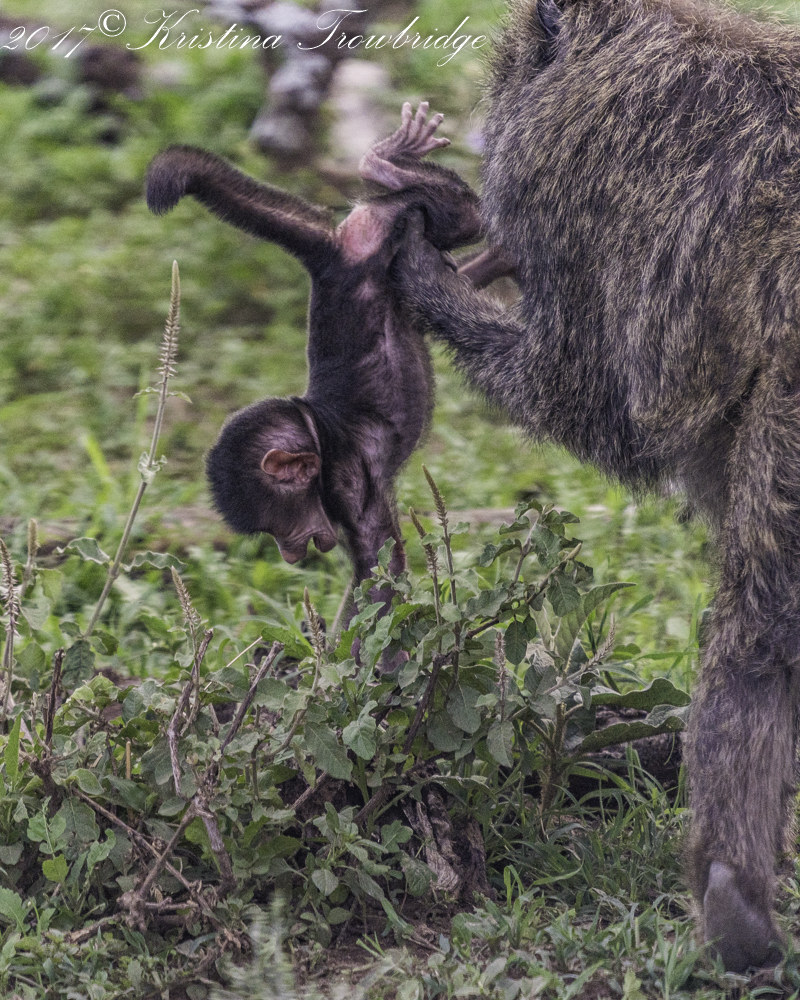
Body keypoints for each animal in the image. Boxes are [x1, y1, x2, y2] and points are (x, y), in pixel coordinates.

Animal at [146, 102, 487, 620]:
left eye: (275, 525)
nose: (288, 554)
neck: (315, 431)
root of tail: (335, 259)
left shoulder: (346, 481)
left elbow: (380, 568)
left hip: (405, 223)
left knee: (463, 214)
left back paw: (382, 165)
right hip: (335, 236)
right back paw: (383, 163)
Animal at [393, 0, 800, 973]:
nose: (481, 223)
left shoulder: (559, 168)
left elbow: (583, 398)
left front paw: (422, 277)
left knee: (760, 627)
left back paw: (733, 900)